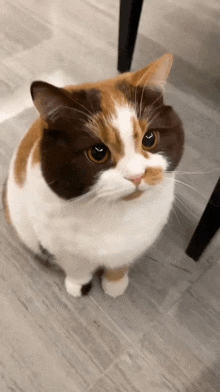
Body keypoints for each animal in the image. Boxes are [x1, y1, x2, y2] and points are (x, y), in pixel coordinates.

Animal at [3, 52, 184, 298]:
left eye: (149, 139)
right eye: (98, 152)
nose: (137, 176)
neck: (115, 213)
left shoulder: (135, 244)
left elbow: (120, 265)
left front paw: (115, 285)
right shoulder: (62, 248)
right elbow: (77, 269)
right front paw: (78, 287)